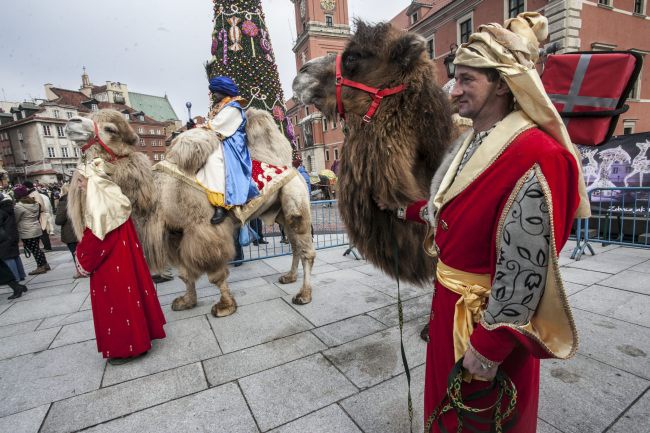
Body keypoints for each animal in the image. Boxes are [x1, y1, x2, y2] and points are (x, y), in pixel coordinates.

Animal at [64, 109, 316, 316]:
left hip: (296, 202)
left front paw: (225, 306)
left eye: (110, 129)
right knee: (295, 245)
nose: (71, 122)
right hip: (279, 212)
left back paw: (304, 294)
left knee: (306, 250)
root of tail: (294, 168)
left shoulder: (202, 229)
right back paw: (289, 277)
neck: (158, 192)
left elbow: (214, 273)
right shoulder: (176, 233)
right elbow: (185, 274)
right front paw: (186, 301)